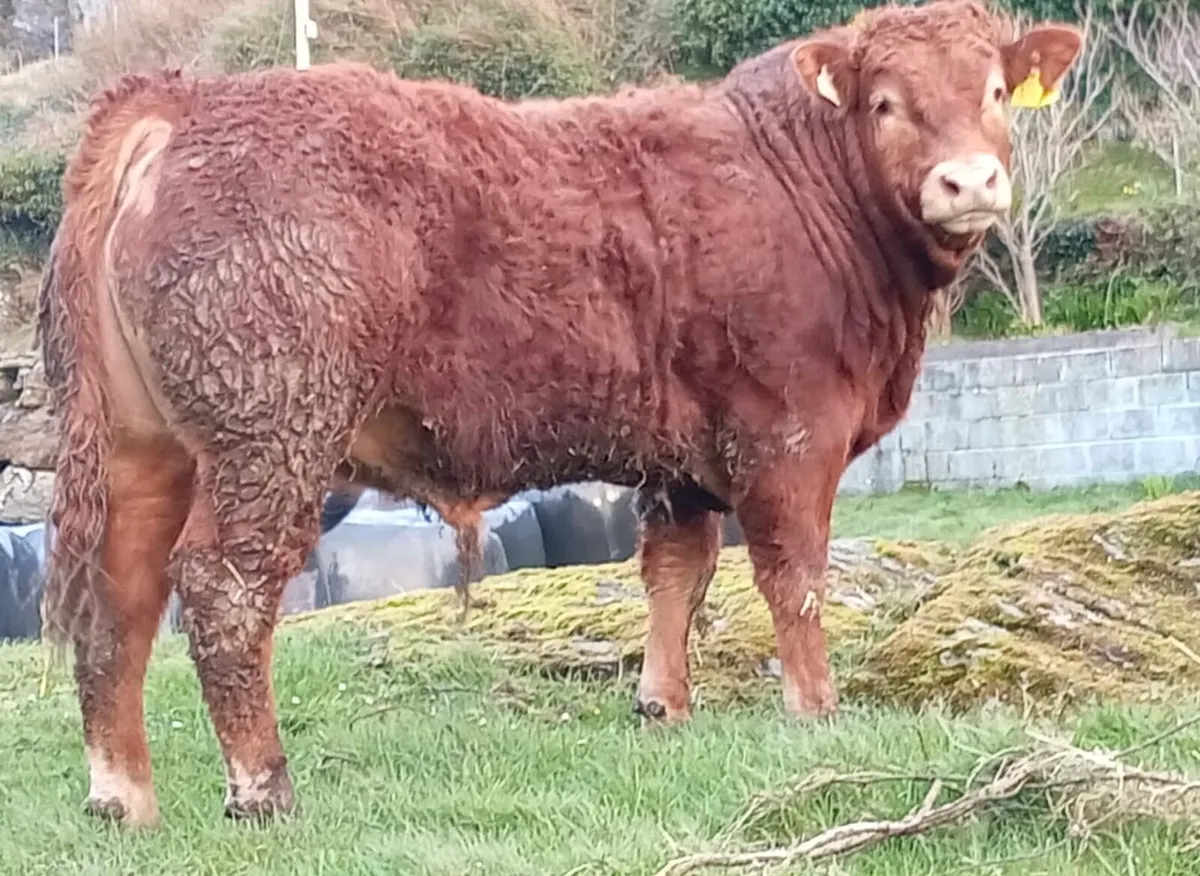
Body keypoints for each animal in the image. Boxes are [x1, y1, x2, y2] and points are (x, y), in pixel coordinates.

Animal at [37, 0, 1082, 828]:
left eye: (996, 90)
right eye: (885, 102)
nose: (970, 182)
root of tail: (182, 99)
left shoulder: (683, 457)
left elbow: (676, 572)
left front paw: (664, 706)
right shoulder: (789, 434)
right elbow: (795, 577)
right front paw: (816, 710)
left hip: (144, 446)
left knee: (120, 593)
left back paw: (121, 795)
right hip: (272, 434)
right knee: (221, 586)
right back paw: (262, 788)